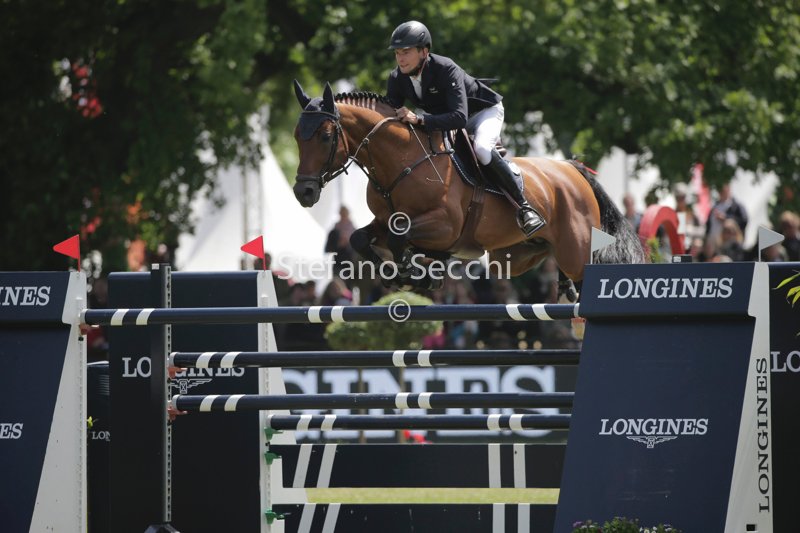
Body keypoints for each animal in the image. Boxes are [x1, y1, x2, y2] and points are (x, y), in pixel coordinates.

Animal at [291, 80, 645, 297]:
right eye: (296, 136)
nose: (303, 193)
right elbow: (360, 238)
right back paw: (563, 286)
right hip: (517, 257)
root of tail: (573, 169)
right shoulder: (383, 220)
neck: (400, 159)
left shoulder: (444, 226)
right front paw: (401, 274)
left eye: (325, 136)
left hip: (576, 248)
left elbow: (398, 238)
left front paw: (416, 272)